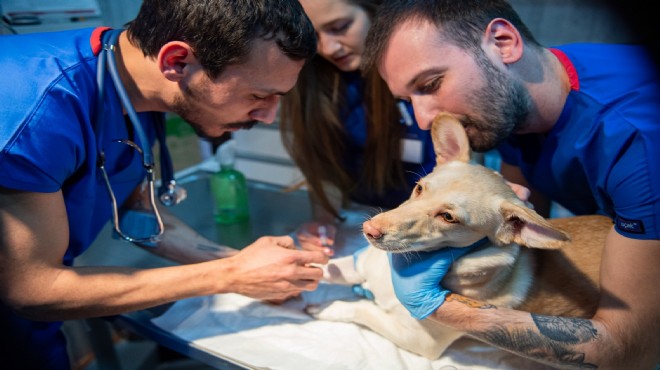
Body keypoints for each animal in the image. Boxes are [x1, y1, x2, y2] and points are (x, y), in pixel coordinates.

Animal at [306, 112, 612, 358]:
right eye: (419, 188)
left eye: (448, 217)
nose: (369, 229)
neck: (409, 264)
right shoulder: (357, 264)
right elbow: (324, 267)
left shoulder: (420, 339)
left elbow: (361, 309)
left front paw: (325, 307)